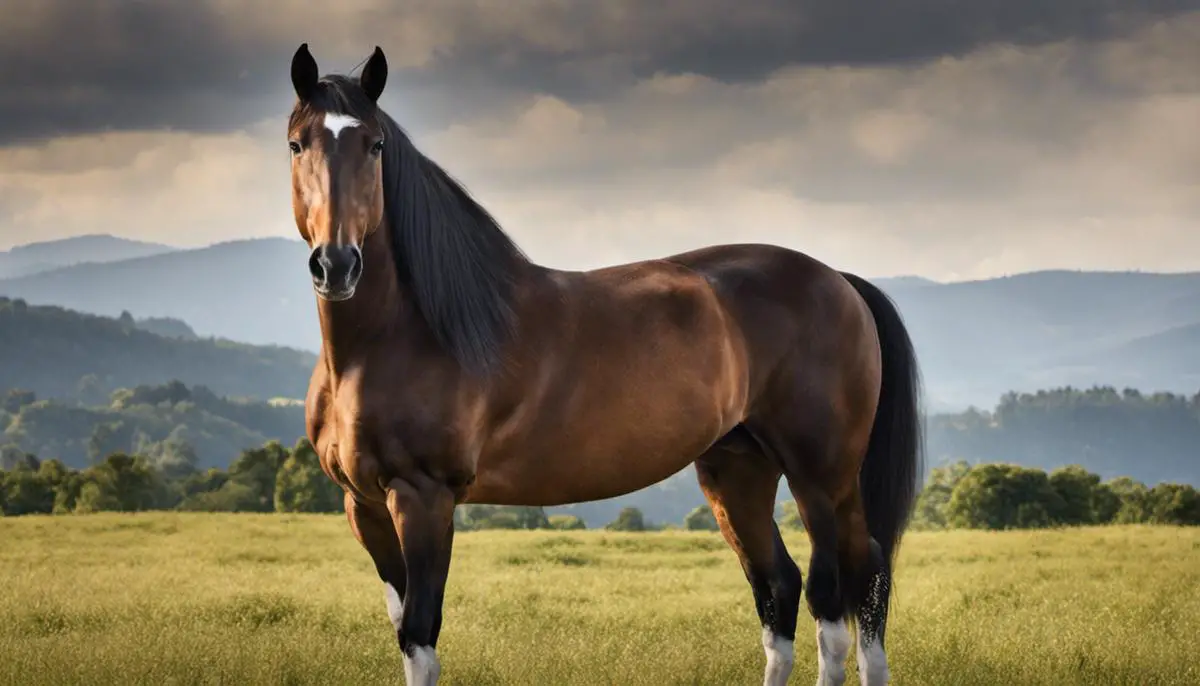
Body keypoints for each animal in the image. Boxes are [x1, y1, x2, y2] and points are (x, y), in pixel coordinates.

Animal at [285, 44, 921, 686]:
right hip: (737, 471)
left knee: (846, 594)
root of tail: (839, 280)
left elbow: (420, 636)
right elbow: (402, 629)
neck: (402, 335)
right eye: (296, 144)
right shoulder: (364, 505)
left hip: (822, 478)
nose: (336, 264)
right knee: (781, 589)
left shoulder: (424, 496)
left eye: (375, 145)